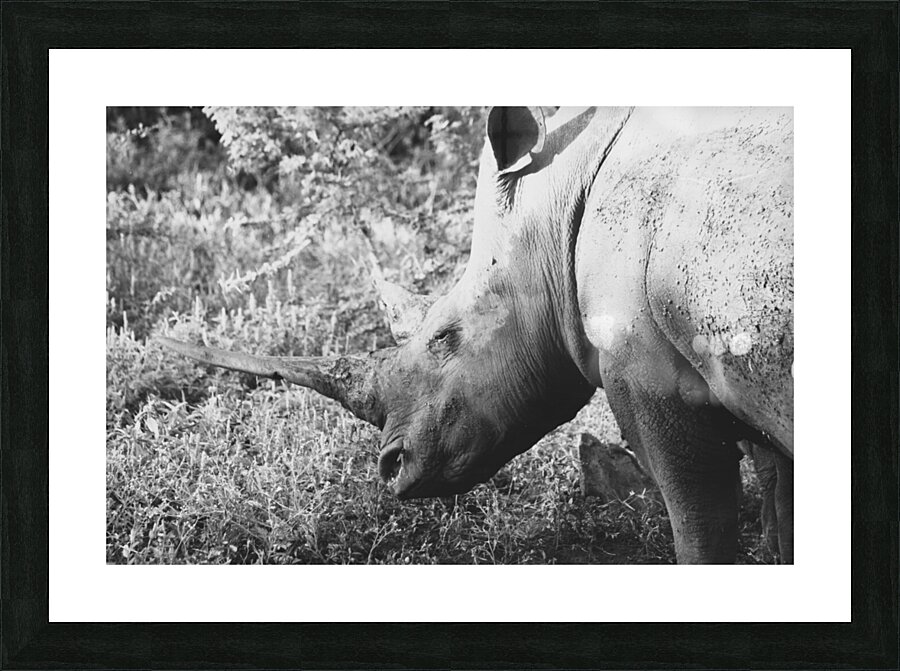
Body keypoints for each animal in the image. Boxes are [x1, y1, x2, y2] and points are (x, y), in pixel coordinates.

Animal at [161, 106, 793, 564]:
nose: (390, 468)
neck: (558, 200)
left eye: (444, 337)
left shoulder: (652, 379)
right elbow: (780, 503)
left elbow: (699, 524)